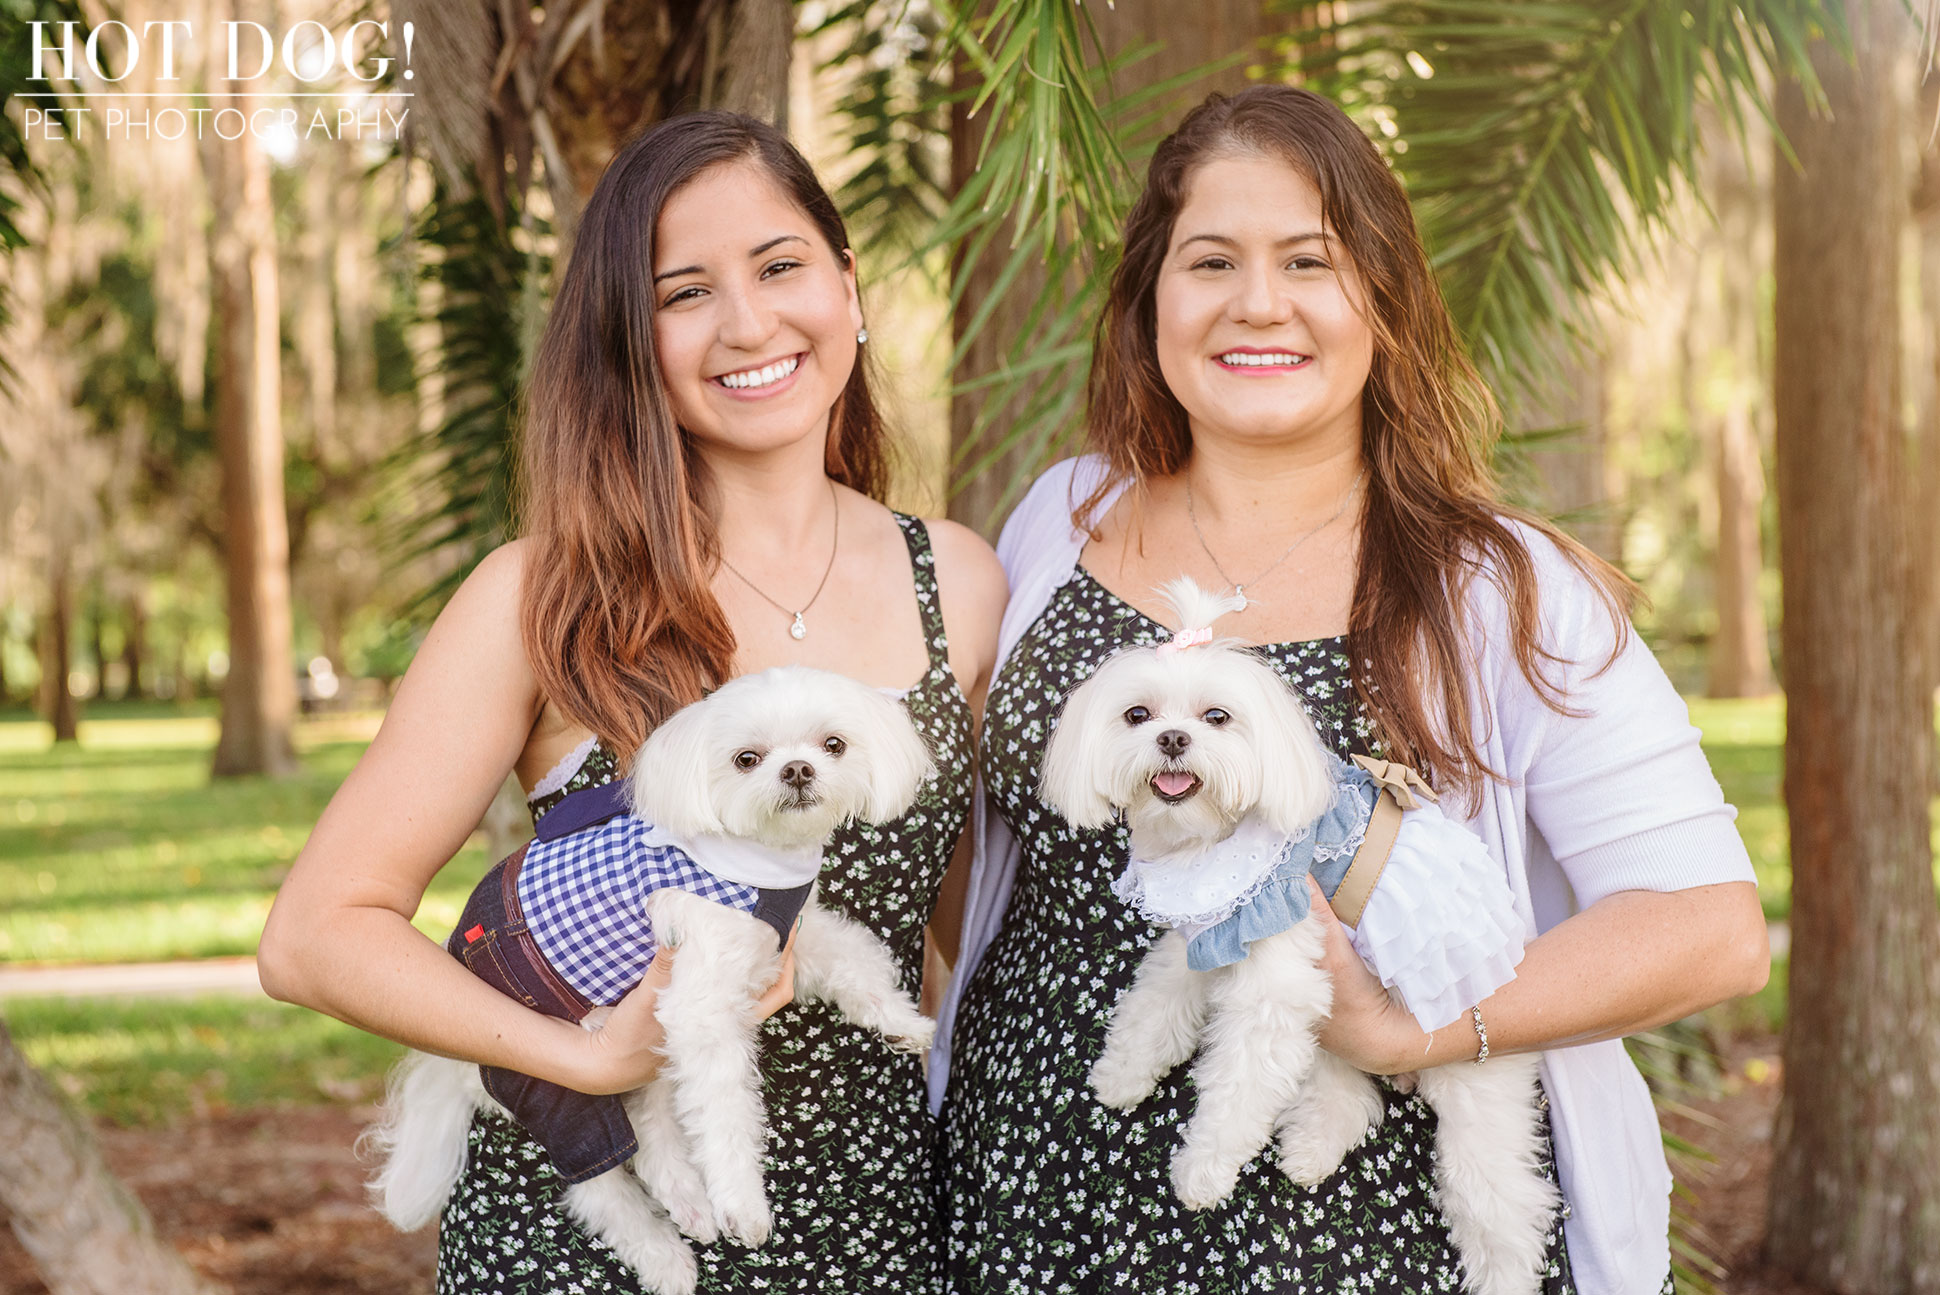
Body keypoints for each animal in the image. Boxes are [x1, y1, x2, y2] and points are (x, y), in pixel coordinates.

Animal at [368, 666, 938, 1295]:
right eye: (746, 759)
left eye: (833, 744)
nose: (797, 770)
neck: (759, 858)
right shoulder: (703, 1006)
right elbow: (725, 1117)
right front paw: (744, 1206)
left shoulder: (784, 940)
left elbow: (852, 959)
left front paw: (903, 1022)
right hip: (548, 1077)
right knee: (598, 1184)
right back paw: (666, 1258)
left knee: (652, 1134)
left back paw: (689, 1206)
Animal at [1047, 577, 1559, 1295]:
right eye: (1137, 713)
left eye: (1217, 717)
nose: (1172, 738)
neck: (1208, 840)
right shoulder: (1206, 934)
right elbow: (1157, 1002)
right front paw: (1124, 1073)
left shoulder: (1273, 967)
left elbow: (1239, 1082)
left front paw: (1202, 1170)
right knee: (1345, 1093)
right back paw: (1310, 1149)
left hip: (1475, 1089)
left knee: (1497, 1201)